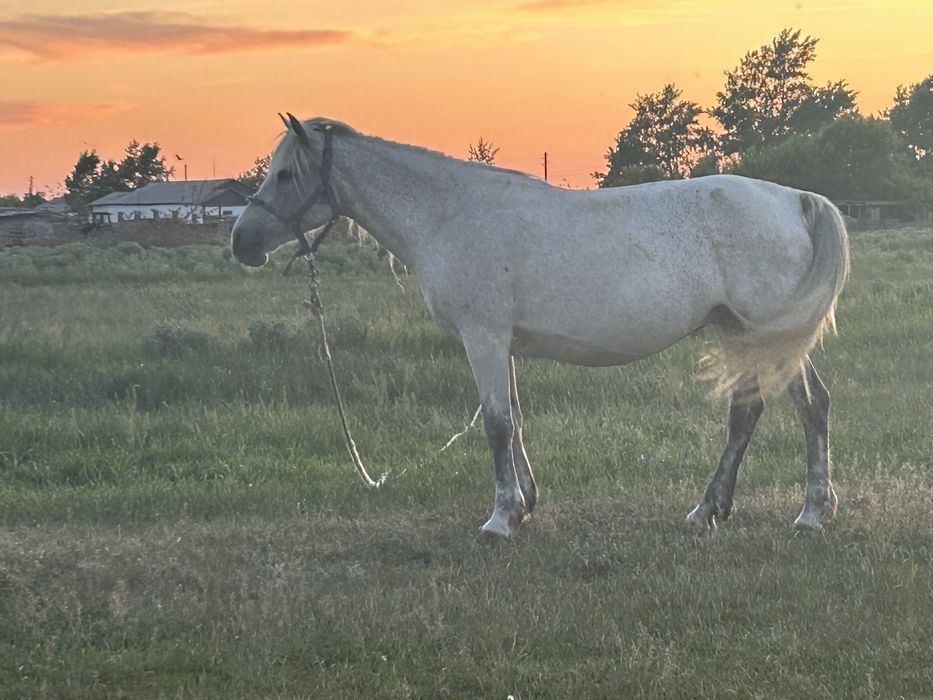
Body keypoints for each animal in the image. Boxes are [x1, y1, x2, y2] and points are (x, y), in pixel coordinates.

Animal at [232, 115, 849, 538]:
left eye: (284, 174)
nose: (241, 242)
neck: (449, 214)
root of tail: (794, 199)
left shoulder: (482, 338)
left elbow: (496, 425)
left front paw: (500, 519)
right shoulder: (500, 343)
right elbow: (515, 419)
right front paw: (525, 503)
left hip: (764, 334)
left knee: (802, 407)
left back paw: (807, 513)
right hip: (741, 333)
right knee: (762, 410)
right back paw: (713, 510)